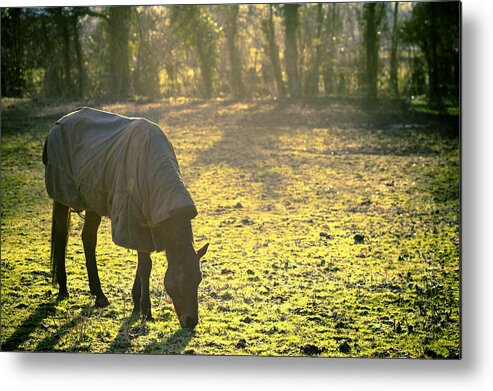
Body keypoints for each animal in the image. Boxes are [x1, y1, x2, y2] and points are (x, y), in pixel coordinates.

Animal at [42, 105, 209, 330]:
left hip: (93, 200)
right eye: (182, 281)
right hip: (61, 195)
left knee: (88, 239)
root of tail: (55, 126)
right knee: (61, 237)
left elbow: (143, 263)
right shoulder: (135, 220)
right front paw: (146, 310)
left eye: (198, 279)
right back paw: (63, 289)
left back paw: (99, 294)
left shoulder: (147, 225)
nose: (191, 322)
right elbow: (145, 266)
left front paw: (137, 304)